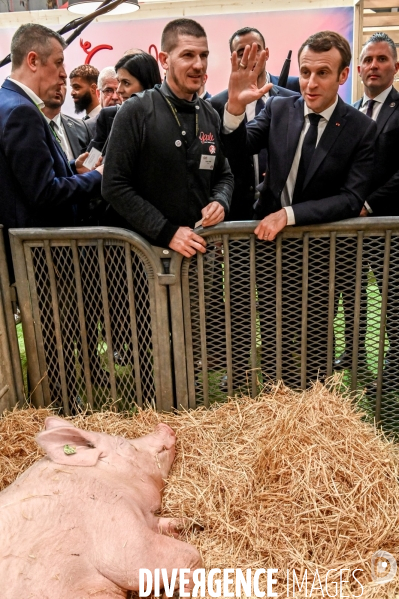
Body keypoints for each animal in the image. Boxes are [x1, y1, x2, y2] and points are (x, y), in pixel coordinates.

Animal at [0, 420, 203, 596]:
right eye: (123, 442)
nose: (163, 425)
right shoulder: (119, 531)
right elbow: (189, 553)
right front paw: (179, 591)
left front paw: (193, 524)